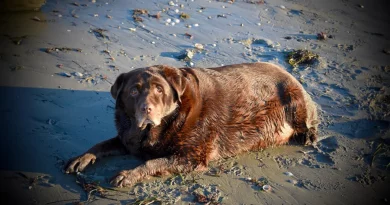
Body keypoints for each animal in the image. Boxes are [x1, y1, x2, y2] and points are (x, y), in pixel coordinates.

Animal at [64, 62, 320, 187]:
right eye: (134, 91)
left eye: (159, 89)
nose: (147, 109)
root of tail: (287, 71)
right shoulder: (128, 138)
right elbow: (101, 145)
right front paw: (82, 158)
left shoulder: (192, 157)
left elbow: (152, 162)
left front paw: (128, 174)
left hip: (295, 98)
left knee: (309, 122)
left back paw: (309, 136)